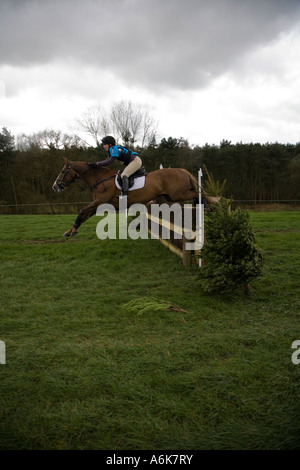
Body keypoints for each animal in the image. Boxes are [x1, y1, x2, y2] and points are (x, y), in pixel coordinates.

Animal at [51, 159, 211, 239]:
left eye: (63, 171)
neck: (99, 179)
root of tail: (182, 170)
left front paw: (72, 230)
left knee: (198, 195)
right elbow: (84, 215)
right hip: (170, 197)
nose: (55, 186)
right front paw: (71, 230)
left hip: (180, 194)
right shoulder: (99, 204)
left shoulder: (100, 201)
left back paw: (209, 207)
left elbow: (82, 211)